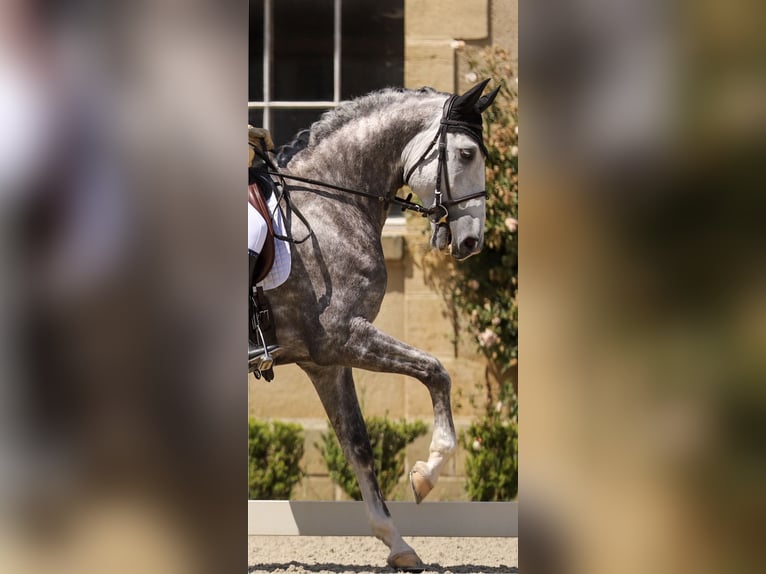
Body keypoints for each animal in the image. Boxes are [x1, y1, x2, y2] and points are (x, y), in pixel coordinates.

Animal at [260, 80, 498, 572]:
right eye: (467, 154)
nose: (472, 242)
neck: (329, 208)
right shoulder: (345, 337)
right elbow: (435, 370)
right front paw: (427, 473)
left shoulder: (326, 363)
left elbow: (358, 444)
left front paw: (398, 542)